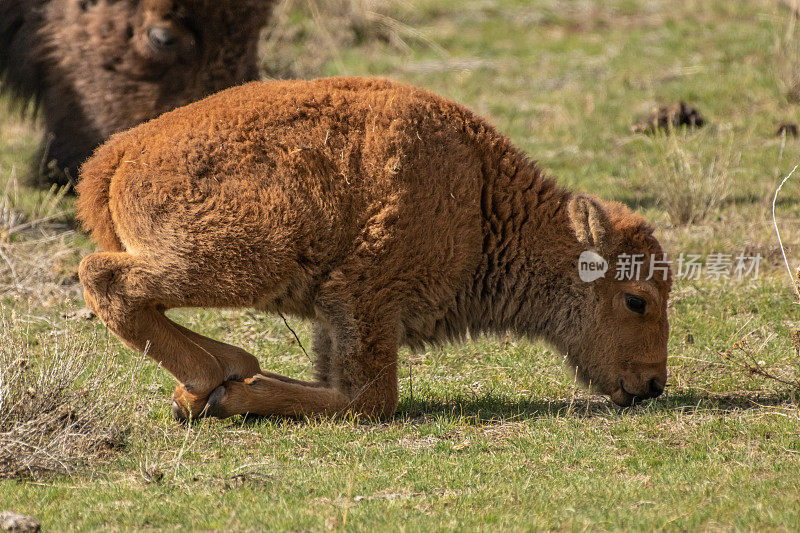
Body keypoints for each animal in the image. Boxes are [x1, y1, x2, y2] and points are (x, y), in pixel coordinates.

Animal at [76, 78, 676, 420]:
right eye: (636, 300)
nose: (652, 384)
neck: (481, 202)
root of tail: (121, 151)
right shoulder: (368, 301)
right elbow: (370, 401)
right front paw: (236, 398)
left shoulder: (335, 317)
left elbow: (333, 381)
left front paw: (240, 389)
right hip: (247, 256)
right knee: (107, 278)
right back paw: (209, 381)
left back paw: (220, 373)